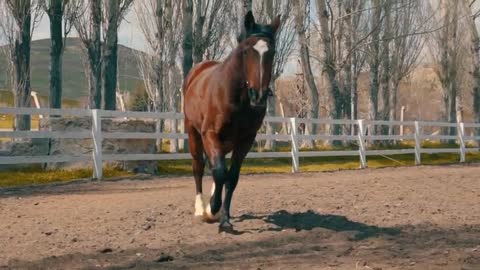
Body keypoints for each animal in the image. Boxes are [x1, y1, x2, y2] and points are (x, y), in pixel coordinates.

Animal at [184, 11, 282, 233]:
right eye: (246, 51)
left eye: (272, 52)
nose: (259, 95)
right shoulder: (210, 134)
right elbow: (220, 173)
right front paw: (212, 208)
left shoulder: (245, 140)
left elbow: (231, 177)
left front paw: (225, 218)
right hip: (193, 133)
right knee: (199, 167)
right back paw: (201, 209)